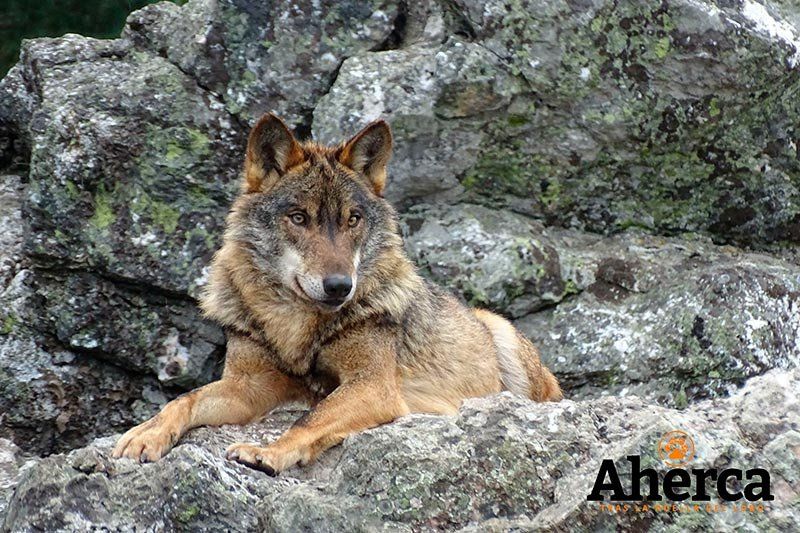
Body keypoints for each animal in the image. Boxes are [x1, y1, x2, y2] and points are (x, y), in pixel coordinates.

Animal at [112, 113, 562, 475]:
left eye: (353, 219)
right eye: (298, 218)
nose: (340, 286)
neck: (295, 327)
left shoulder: (372, 386)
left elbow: (310, 418)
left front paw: (266, 453)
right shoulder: (250, 385)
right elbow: (184, 399)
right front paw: (146, 434)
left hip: (501, 331)